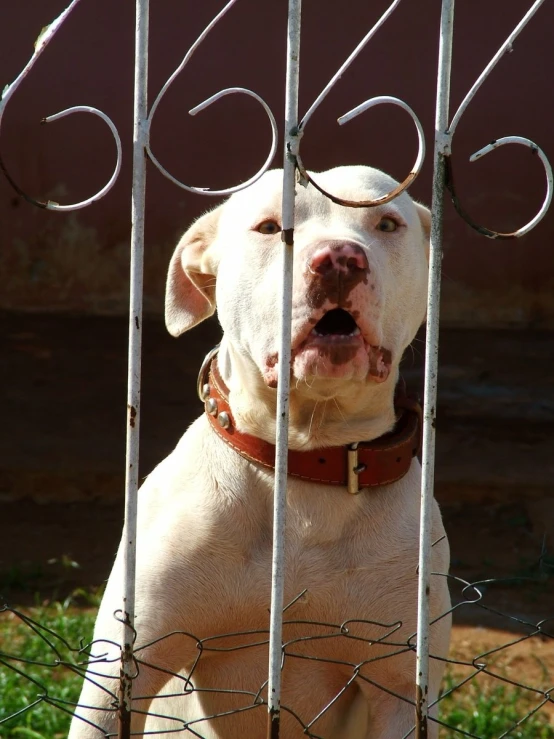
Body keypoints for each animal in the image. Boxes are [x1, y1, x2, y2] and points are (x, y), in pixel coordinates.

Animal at [68, 168, 448, 739]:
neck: (309, 461)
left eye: (386, 223)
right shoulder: (120, 675)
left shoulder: (402, 688)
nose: (339, 259)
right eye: (270, 228)